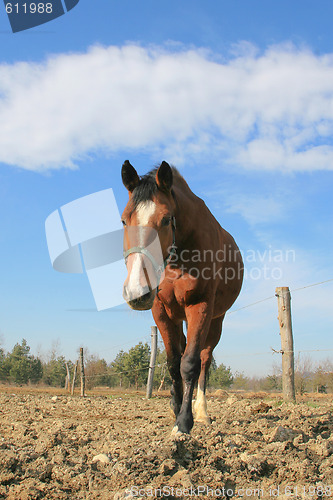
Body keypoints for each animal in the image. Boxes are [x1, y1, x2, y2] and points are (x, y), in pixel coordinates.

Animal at [120, 162, 243, 436]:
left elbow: (190, 363)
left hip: (216, 320)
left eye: (166, 219)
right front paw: (175, 409)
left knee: (205, 360)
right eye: (123, 220)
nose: (137, 291)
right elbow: (173, 363)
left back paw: (202, 412)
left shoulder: (200, 306)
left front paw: (184, 422)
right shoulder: (162, 311)